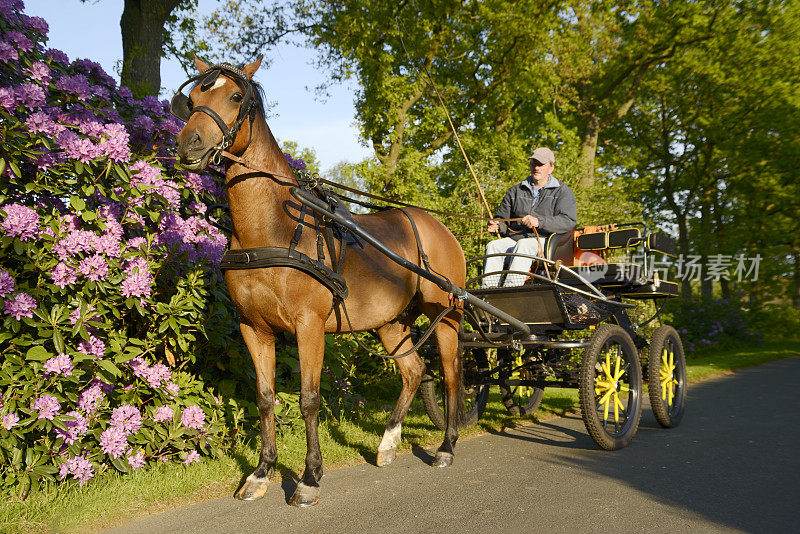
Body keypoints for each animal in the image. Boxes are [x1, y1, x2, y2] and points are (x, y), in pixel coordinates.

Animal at [172, 56, 466, 508]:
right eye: (192, 97)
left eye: (236, 96)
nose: (189, 144)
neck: (272, 228)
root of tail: (439, 227)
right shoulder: (253, 328)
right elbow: (265, 398)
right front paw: (261, 473)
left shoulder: (309, 326)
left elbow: (309, 399)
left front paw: (310, 478)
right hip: (390, 321)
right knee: (414, 370)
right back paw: (387, 443)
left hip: (446, 316)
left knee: (449, 374)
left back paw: (447, 447)